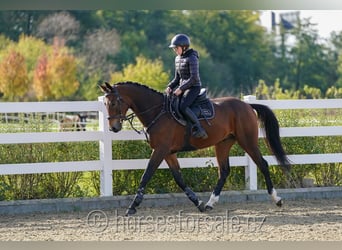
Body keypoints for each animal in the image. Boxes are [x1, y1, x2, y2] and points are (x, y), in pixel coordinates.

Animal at [99, 81, 292, 215]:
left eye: (115, 102)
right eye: (105, 104)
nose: (113, 127)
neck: (157, 111)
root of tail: (246, 105)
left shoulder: (160, 150)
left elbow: (146, 175)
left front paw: (132, 206)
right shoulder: (168, 153)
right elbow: (179, 179)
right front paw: (198, 203)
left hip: (248, 142)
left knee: (263, 164)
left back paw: (277, 199)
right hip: (223, 144)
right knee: (224, 171)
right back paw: (210, 203)